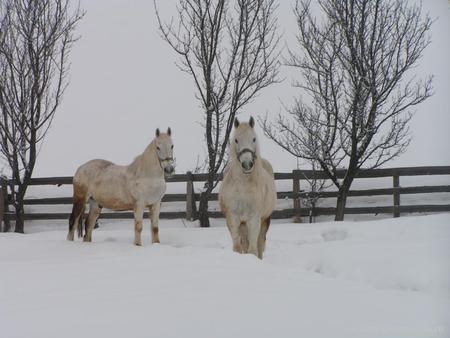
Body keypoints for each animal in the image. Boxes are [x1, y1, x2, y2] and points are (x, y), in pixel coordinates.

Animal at [219, 117, 276, 258]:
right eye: (236, 140)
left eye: (254, 139)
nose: (247, 164)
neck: (243, 186)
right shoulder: (233, 219)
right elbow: (237, 247)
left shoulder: (254, 219)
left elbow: (253, 249)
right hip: (243, 224)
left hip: (264, 220)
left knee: (260, 243)